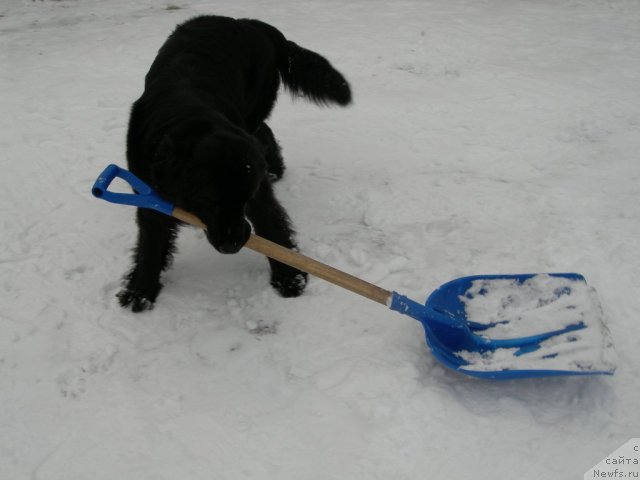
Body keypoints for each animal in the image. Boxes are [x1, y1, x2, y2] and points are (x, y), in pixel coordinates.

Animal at [117, 15, 352, 312]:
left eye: (244, 200)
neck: (188, 119)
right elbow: (151, 243)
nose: (233, 245)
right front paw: (140, 290)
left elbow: (271, 223)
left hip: (255, 104)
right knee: (263, 132)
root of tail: (249, 22)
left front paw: (290, 277)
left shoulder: (256, 189)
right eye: (207, 201)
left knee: (262, 131)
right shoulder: (148, 192)